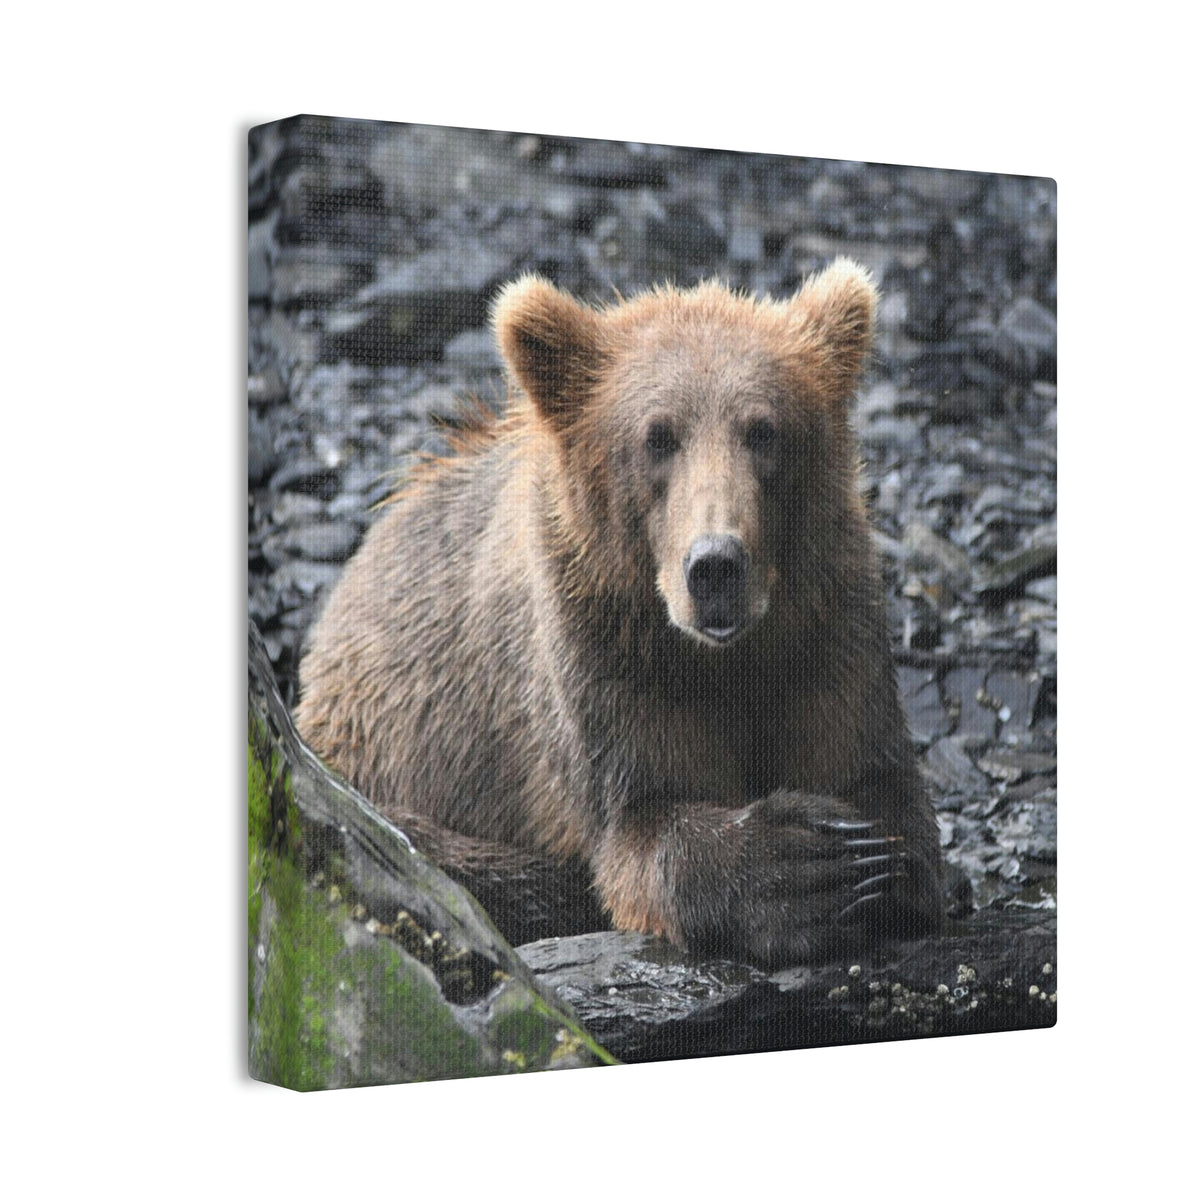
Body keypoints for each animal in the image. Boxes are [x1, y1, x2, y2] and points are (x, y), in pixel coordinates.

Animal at [295, 260, 944, 966]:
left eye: (763, 430)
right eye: (658, 437)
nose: (715, 566)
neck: (723, 655)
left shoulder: (826, 626)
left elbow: (874, 776)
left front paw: (873, 861)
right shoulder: (603, 652)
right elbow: (642, 820)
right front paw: (804, 864)